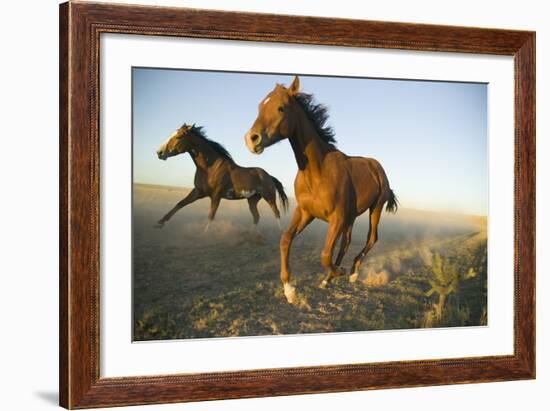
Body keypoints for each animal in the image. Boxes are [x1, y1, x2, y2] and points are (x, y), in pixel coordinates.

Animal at [155, 122, 288, 232]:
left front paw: (204, 234)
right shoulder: (198, 192)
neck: (209, 168)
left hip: (269, 197)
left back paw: (280, 233)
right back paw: (252, 235)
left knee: (276, 213)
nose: (159, 152)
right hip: (252, 200)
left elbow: (211, 216)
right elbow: (180, 203)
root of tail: (269, 176)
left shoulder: (216, 195)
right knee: (256, 216)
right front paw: (159, 223)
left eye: (179, 137)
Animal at [245, 76, 396, 306]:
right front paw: (290, 290)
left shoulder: (336, 218)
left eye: (281, 108)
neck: (317, 172)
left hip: (375, 209)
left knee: (371, 238)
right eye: (260, 106)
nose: (251, 139)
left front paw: (339, 272)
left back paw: (352, 273)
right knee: (345, 243)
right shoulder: (306, 212)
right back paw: (328, 279)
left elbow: (325, 254)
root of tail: (377, 166)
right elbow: (286, 239)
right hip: (351, 216)